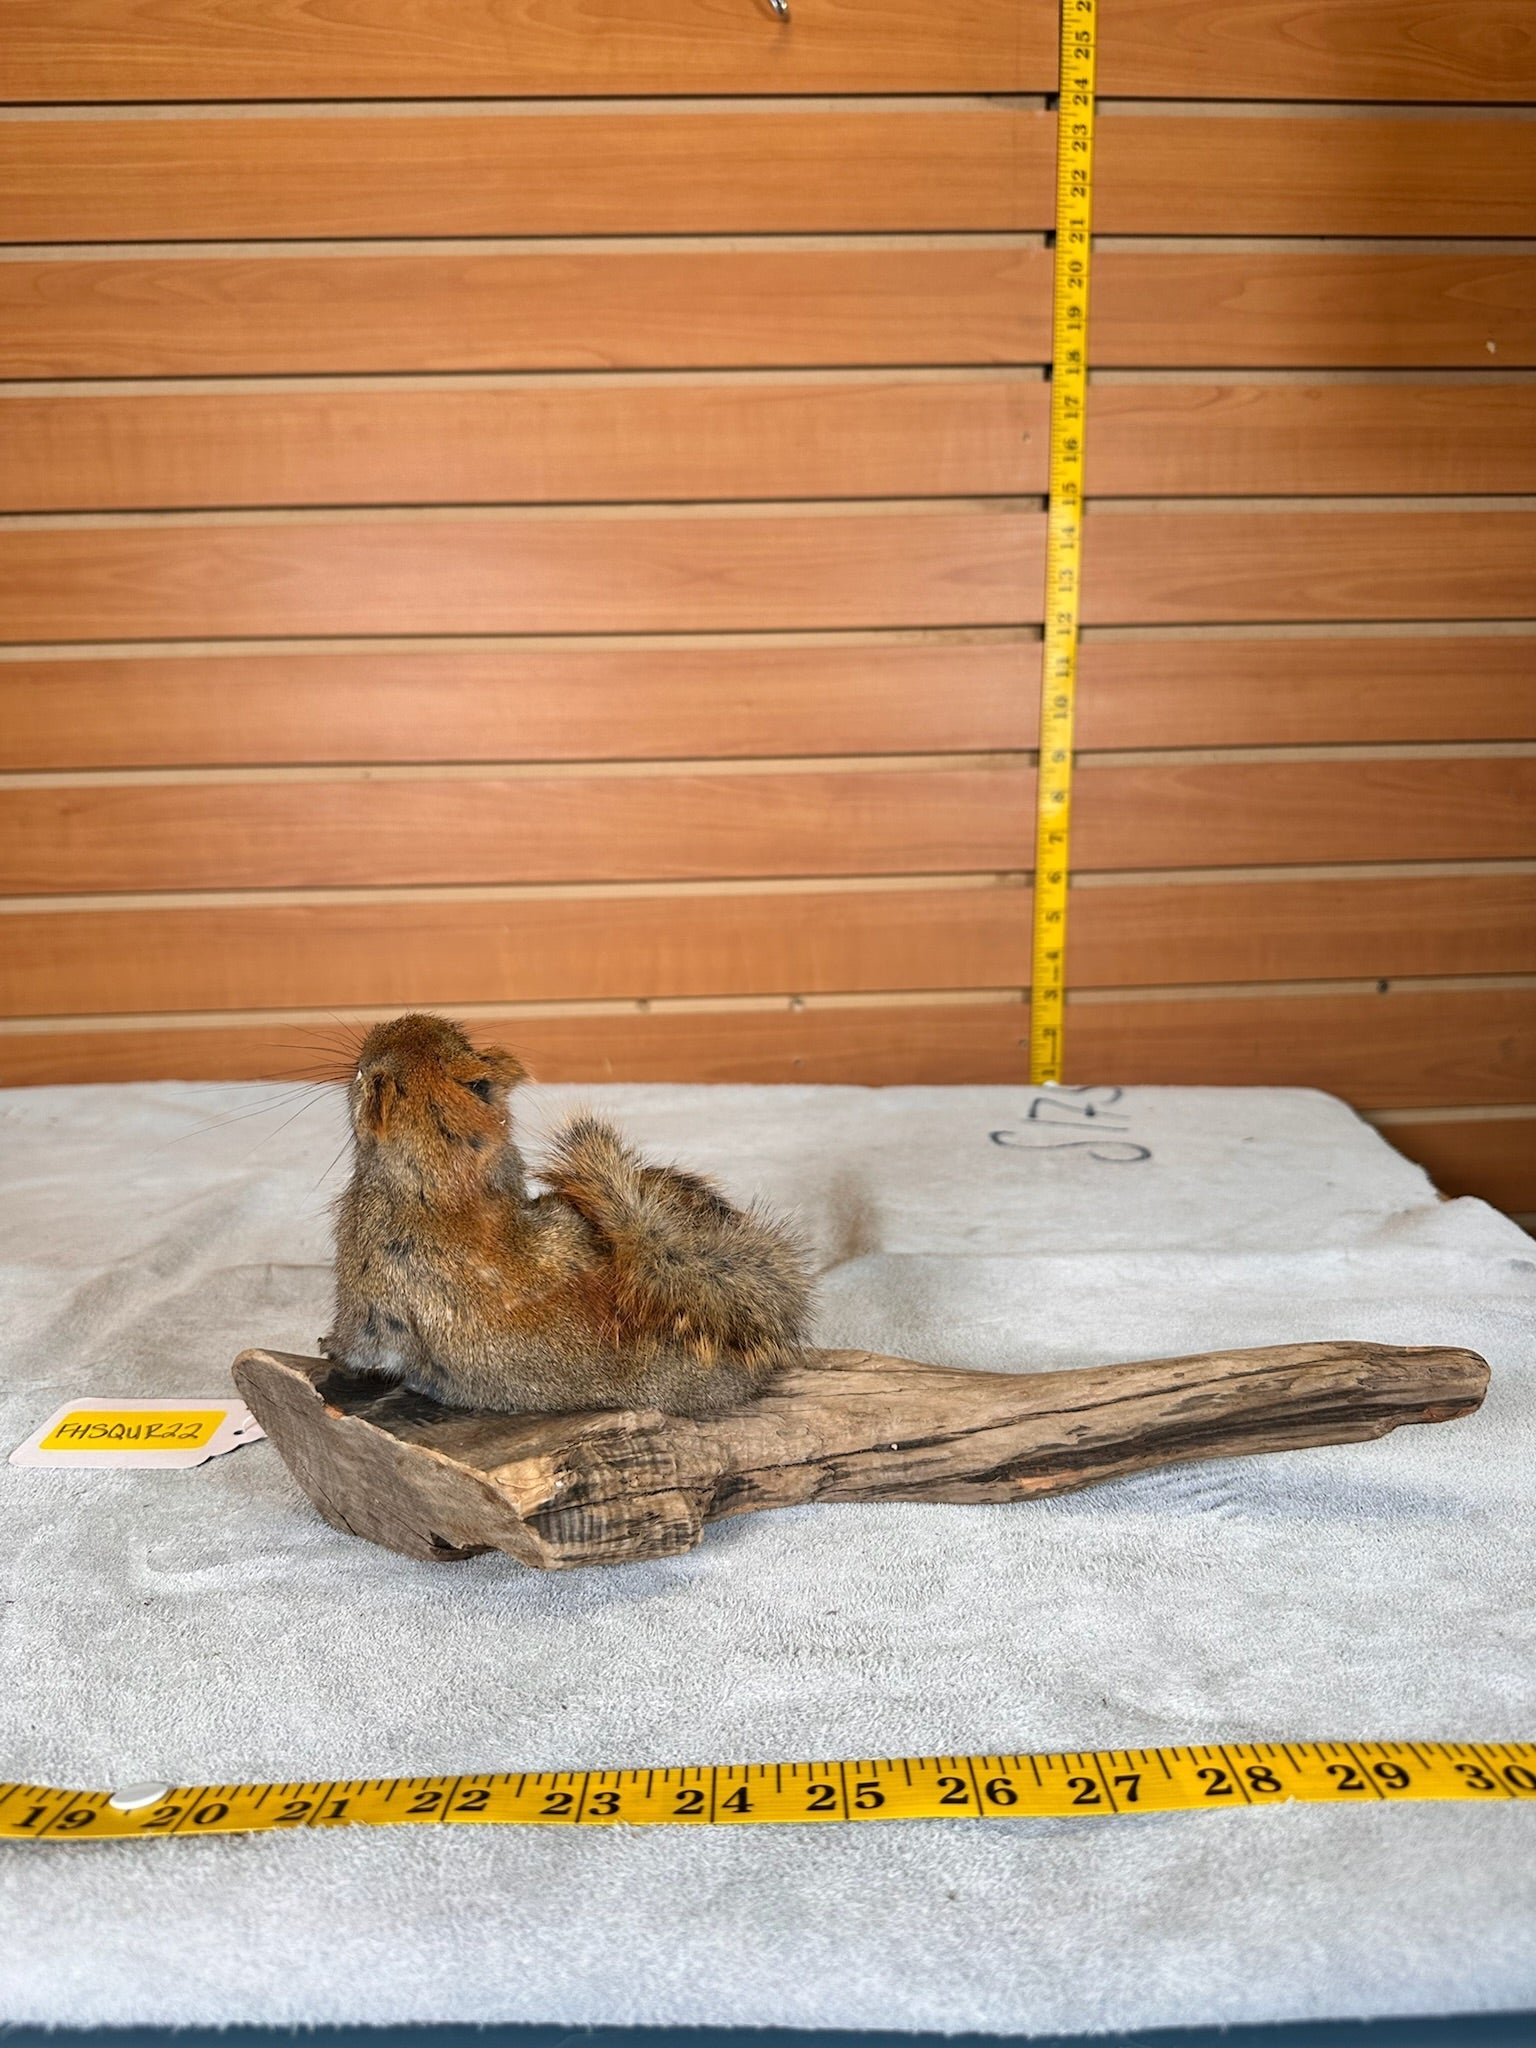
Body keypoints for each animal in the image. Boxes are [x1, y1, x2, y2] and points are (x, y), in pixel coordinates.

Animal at [322, 1012, 812, 1417]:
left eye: (366, 1075)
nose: (368, 1043)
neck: (446, 1184)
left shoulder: (367, 1286)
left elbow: (361, 1345)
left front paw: (331, 1348)